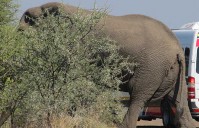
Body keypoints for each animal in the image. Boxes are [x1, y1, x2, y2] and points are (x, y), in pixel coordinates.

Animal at [18, 2, 196, 128]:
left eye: (28, 18)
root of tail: (178, 49)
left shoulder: (80, 45)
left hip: (152, 67)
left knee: (137, 95)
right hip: (170, 71)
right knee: (177, 102)